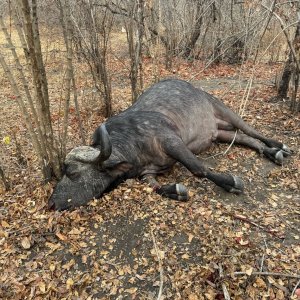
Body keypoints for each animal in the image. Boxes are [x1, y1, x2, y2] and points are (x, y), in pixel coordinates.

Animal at [48, 79, 290, 211]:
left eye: (71, 171)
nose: (51, 203)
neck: (132, 145)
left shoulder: (172, 141)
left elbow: (198, 168)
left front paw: (231, 182)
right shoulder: (146, 173)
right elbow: (155, 188)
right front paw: (175, 191)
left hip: (223, 109)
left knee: (250, 130)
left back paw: (279, 146)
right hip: (217, 132)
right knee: (244, 139)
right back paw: (271, 152)